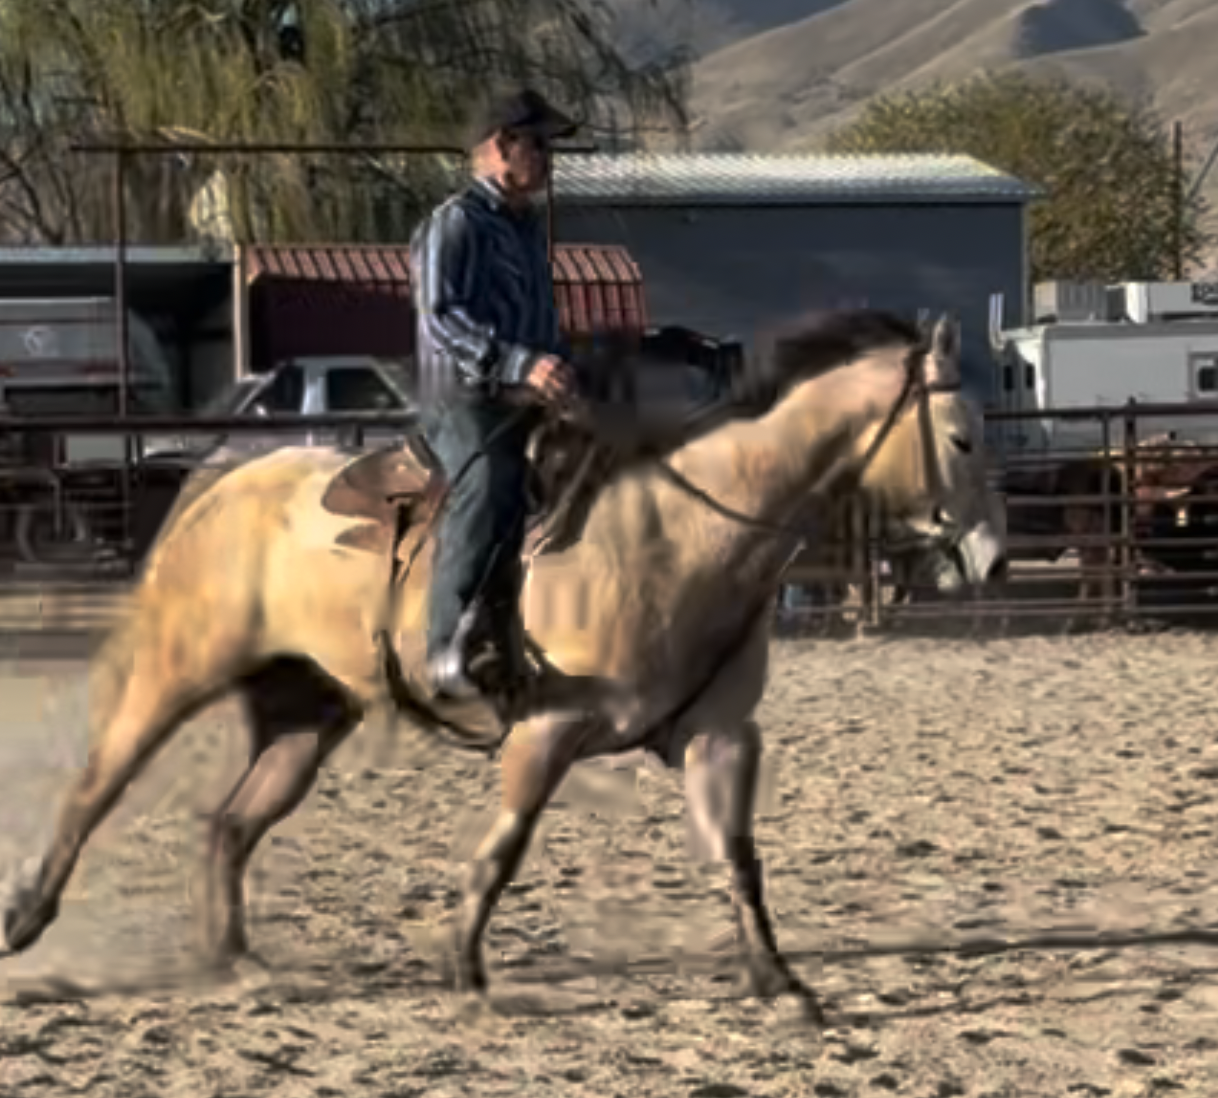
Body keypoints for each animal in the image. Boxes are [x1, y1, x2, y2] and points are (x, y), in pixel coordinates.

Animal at [1, 309, 1007, 1027]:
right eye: (960, 437)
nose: (993, 559)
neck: (681, 533)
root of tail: (227, 478)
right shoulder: (548, 729)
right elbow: (506, 847)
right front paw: (467, 971)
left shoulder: (719, 734)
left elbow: (736, 854)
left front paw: (781, 982)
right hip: (178, 671)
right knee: (98, 783)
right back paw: (26, 922)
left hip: (306, 712)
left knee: (230, 823)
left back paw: (238, 963)